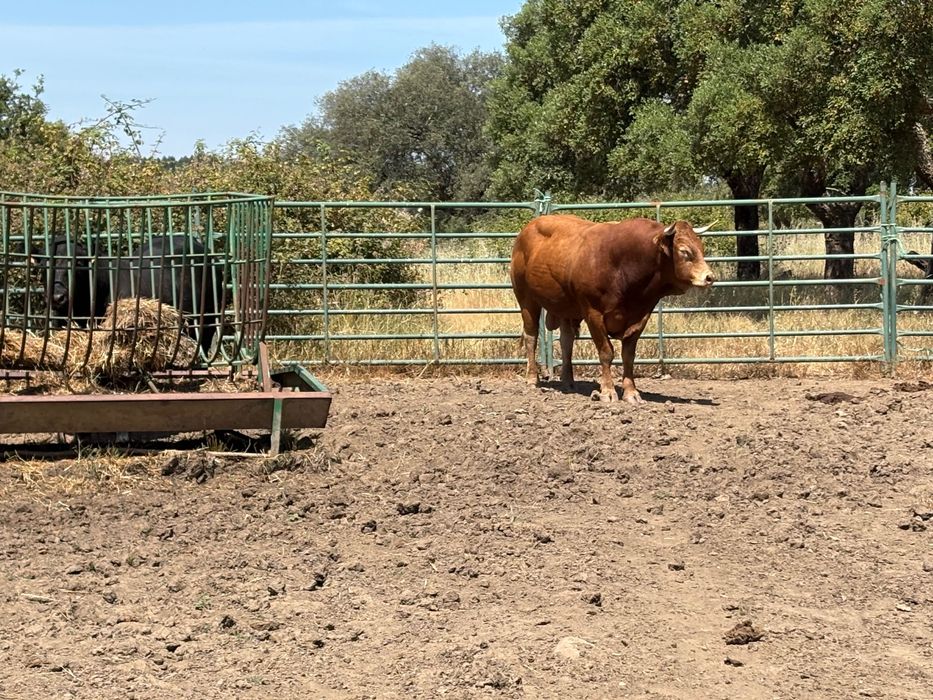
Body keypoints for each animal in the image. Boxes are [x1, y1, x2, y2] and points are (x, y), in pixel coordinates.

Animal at [510, 214, 715, 404]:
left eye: (701, 248)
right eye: (684, 251)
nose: (710, 277)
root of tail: (528, 228)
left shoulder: (640, 317)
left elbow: (628, 356)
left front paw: (631, 392)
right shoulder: (593, 314)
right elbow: (606, 352)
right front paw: (608, 391)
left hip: (566, 308)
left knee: (566, 341)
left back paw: (568, 381)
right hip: (526, 299)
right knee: (531, 336)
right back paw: (532, 378)